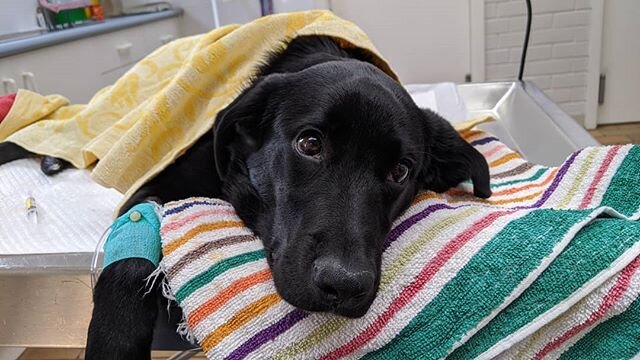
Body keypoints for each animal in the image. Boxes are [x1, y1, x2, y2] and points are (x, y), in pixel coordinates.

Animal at [0, 35, 490, 358]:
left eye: (399, 171)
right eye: (309, 144)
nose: (344, 284)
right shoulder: (151, 187)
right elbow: (130, 261)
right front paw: (112, 340)